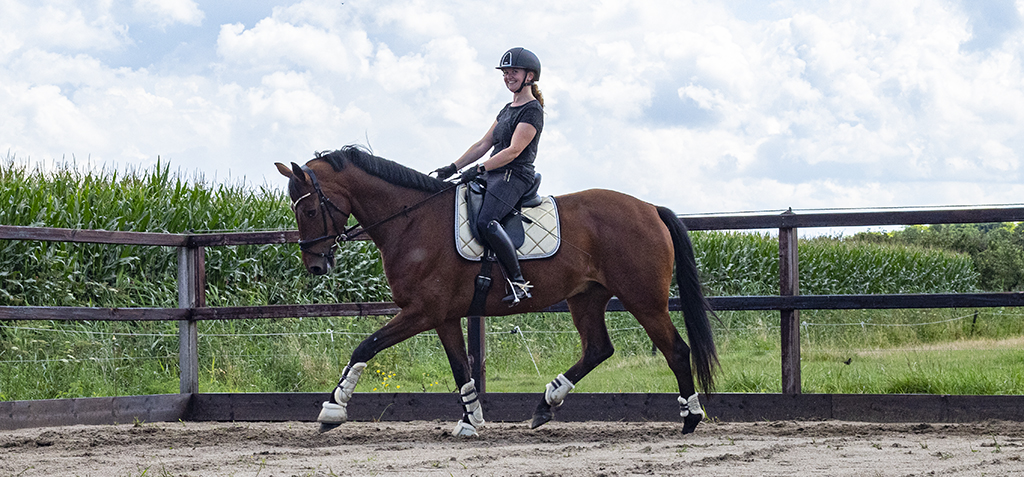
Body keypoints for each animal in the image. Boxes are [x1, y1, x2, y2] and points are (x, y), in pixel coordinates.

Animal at [276, 146, 716, 436]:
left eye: (310, 210)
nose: (316, 265)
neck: (412, 221)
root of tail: (649, 208)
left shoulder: (421, 312)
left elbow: (364, 347)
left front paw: (332, 410)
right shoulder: (444, 316)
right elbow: (461, 369)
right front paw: (470, 420)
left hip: (644, 300)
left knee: (677, 351)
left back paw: (691, 418)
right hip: (586, 296)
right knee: (598, 349)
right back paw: (545, 405)